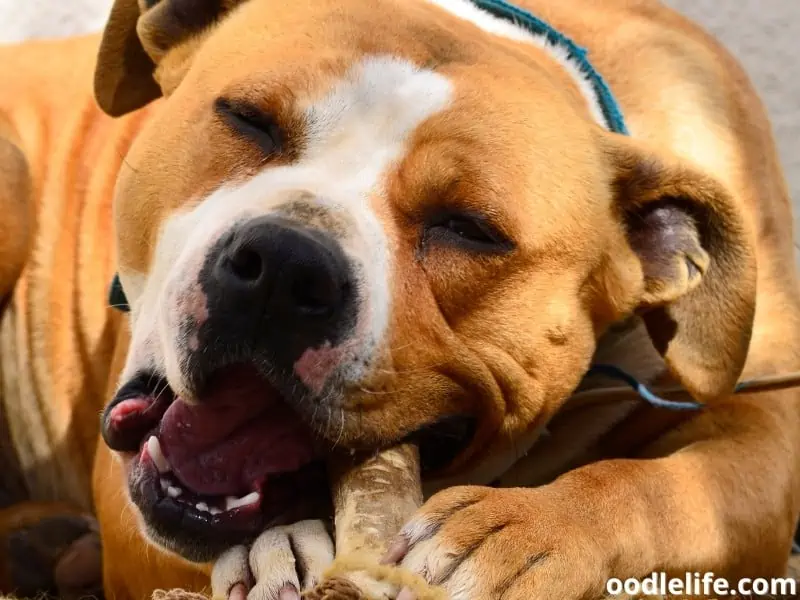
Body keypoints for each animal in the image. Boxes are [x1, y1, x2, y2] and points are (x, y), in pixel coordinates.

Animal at [1, 0, 800, 596]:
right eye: (246, 118)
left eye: (470, 229)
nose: (285, 266)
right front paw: (277, 547)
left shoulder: (763, 424)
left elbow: (671, 490)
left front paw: (521, 537)